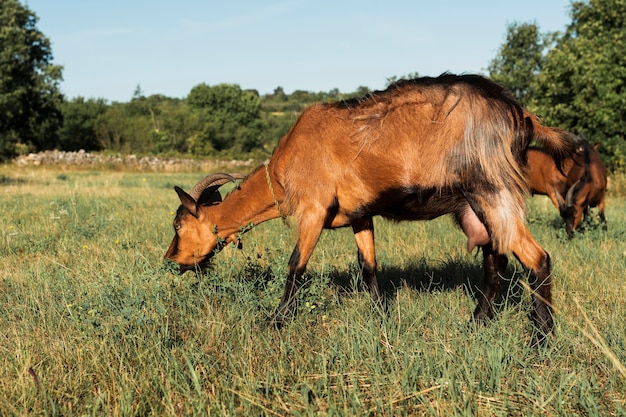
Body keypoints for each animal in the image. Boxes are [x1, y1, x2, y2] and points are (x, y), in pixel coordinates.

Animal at [163, 74, 572, 344]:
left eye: (178, 226)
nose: (170, 260)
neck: (282, 170)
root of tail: (521, 115)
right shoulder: (360, 215)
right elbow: (369, 267)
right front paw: (382, 318)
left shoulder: (313, 209)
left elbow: (295, 266)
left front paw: (275, 323)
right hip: (475, 203)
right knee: (495, 261)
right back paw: (475, 324)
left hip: (492, 189)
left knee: (537, 258)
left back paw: (541, 341)